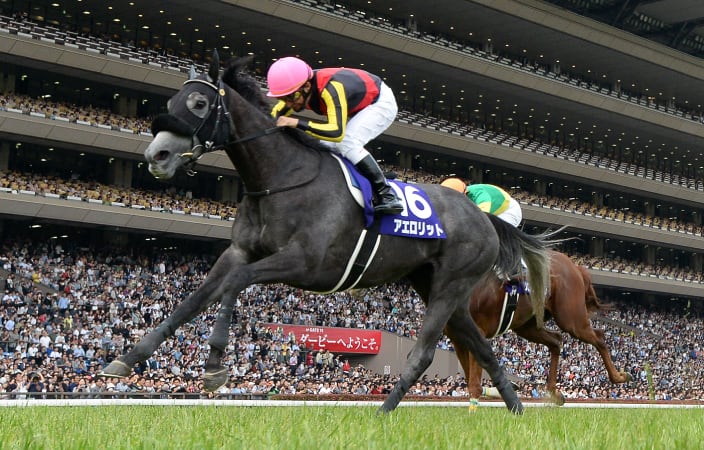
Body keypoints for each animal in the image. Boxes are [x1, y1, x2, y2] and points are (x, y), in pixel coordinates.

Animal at [99, 53, 552, 414]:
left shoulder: (306, 264)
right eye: (170, 102)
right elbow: (192, 300)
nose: (156, 155)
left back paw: (383, 412)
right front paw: (126, 359)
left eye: (199, 103)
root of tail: (483, 217)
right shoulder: (240, 250)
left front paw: (213, 367)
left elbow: (235, 282)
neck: (280, 178)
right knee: (483, 347)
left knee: (424, 353)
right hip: (437, 285)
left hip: (451, 284)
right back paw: (516, 410)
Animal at [452, 250, 632, 404]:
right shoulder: (458, 337)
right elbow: (470, 377)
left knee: (598, 337)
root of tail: (575, 266)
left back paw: (619, 377)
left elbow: (474, 382)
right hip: (527, 326)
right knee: (556, 341)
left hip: (571, 319)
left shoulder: (477, 330)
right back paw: (553, 392)